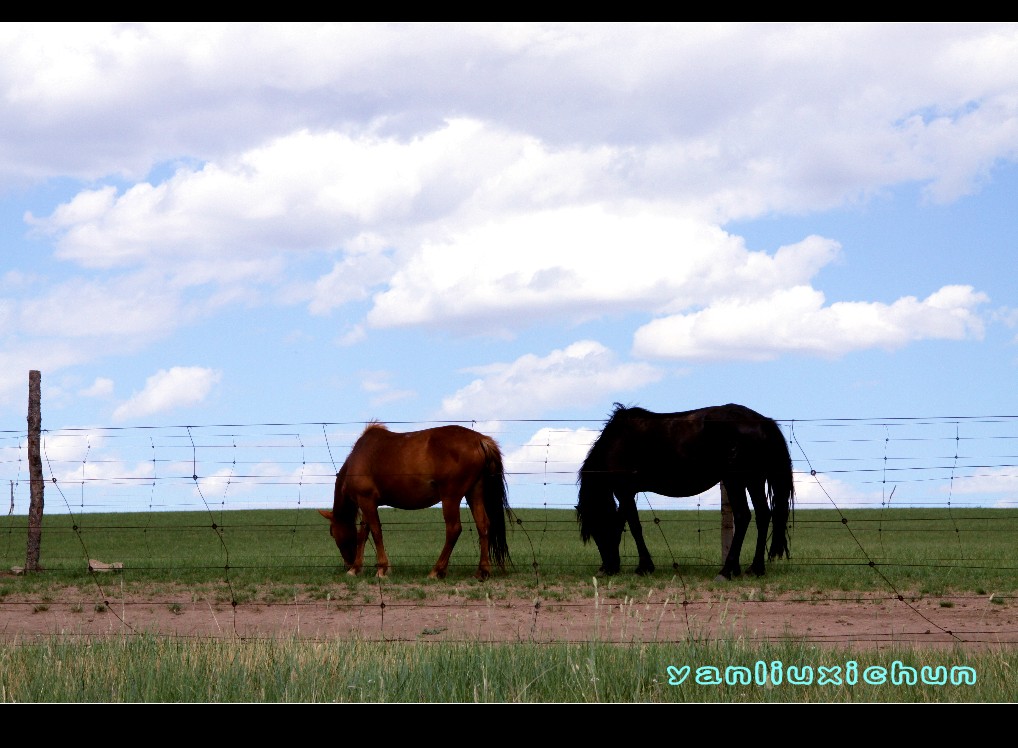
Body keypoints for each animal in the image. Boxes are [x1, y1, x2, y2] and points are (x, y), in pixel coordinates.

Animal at [317, 423, 513, 582]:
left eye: (333, 533)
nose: (347, 563)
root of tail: (480, 440)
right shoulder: (367, 503)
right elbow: (363, 534)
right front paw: (357, 568)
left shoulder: (366, 500)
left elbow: (375, 532)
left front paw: (381, 569)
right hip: (474, 493)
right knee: (483, 526)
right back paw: (482, 571)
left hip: (451, 496)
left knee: (453, 529)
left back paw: (436, 571)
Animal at [578, 403, 789, 578]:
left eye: (596, 527)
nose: (606, 567)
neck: (616, 443)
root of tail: (763, 422)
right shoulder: (627, 493)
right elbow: (621, 524)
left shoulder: (624, 491)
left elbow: (634, 527)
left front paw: (644, 567)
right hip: (753, 480)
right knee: (763, 515)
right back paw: (755, 569)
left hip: (735, 480)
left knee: (743, 516)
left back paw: (726, 571)